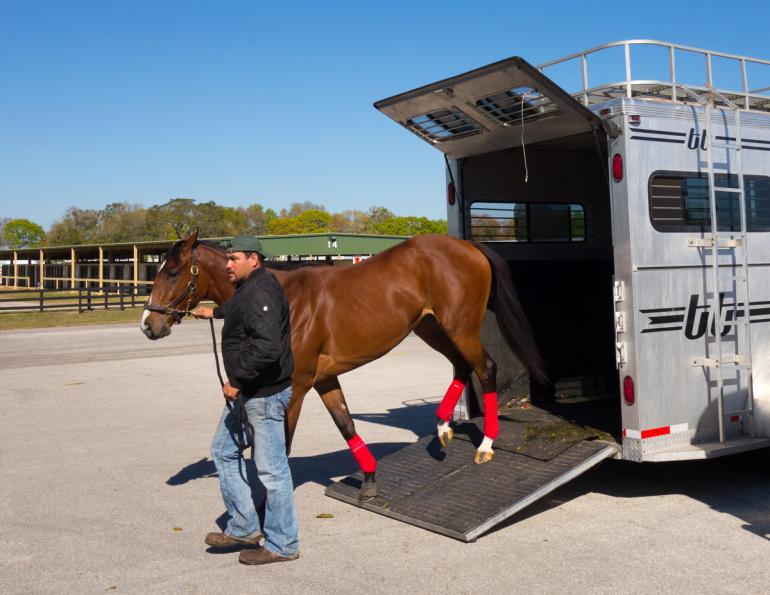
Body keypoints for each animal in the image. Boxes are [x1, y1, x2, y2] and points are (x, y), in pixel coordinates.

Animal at [141, 230, 546, 499]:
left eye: (172, 272)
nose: (148, 324)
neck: (284, 300)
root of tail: (467, 245)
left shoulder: (295, 387)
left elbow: (279, 447)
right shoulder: (323, 379)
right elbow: (345, 423)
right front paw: (368, 480)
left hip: (459, 327)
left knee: (486, 368)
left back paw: (486, 445)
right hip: (432, 327)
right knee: (462, 367)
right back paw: (443, 427)